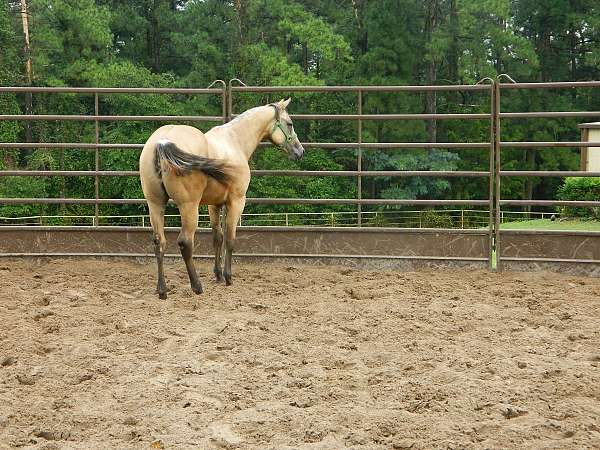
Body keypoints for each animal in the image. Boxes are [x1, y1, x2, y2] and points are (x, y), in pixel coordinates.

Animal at [138, 98, 302, 298]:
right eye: (290, 124)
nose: (300, 151)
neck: (234, 141)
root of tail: (162, 142)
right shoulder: (236, 202)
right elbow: (230, 239)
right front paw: (228, 277)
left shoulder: (214, 205)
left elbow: (218, 237)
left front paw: (217, 274)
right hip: (188, 206)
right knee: (185, 242)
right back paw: (196, 286)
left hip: (155, 204)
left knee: (159, 242)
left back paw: (162, 290)